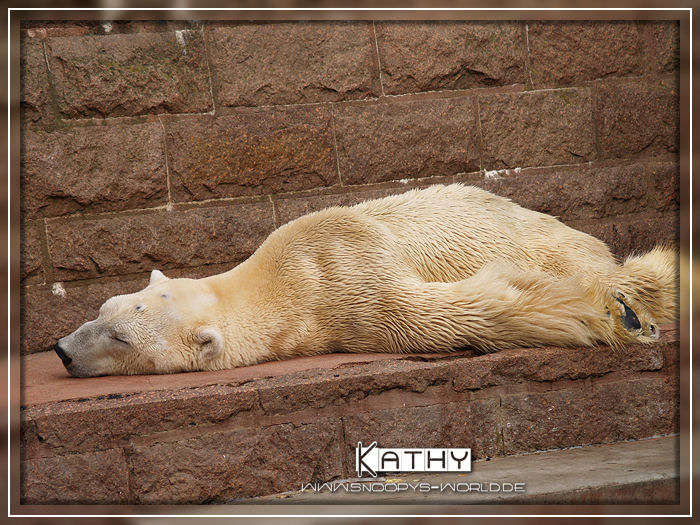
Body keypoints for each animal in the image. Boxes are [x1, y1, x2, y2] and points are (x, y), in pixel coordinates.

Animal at [54, 184, 680, 376]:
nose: (61, 349)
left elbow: (435, 312)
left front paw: (610, 315)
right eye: (101, 310)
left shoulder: (344, 268)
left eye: (121, 337)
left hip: (553, 238)